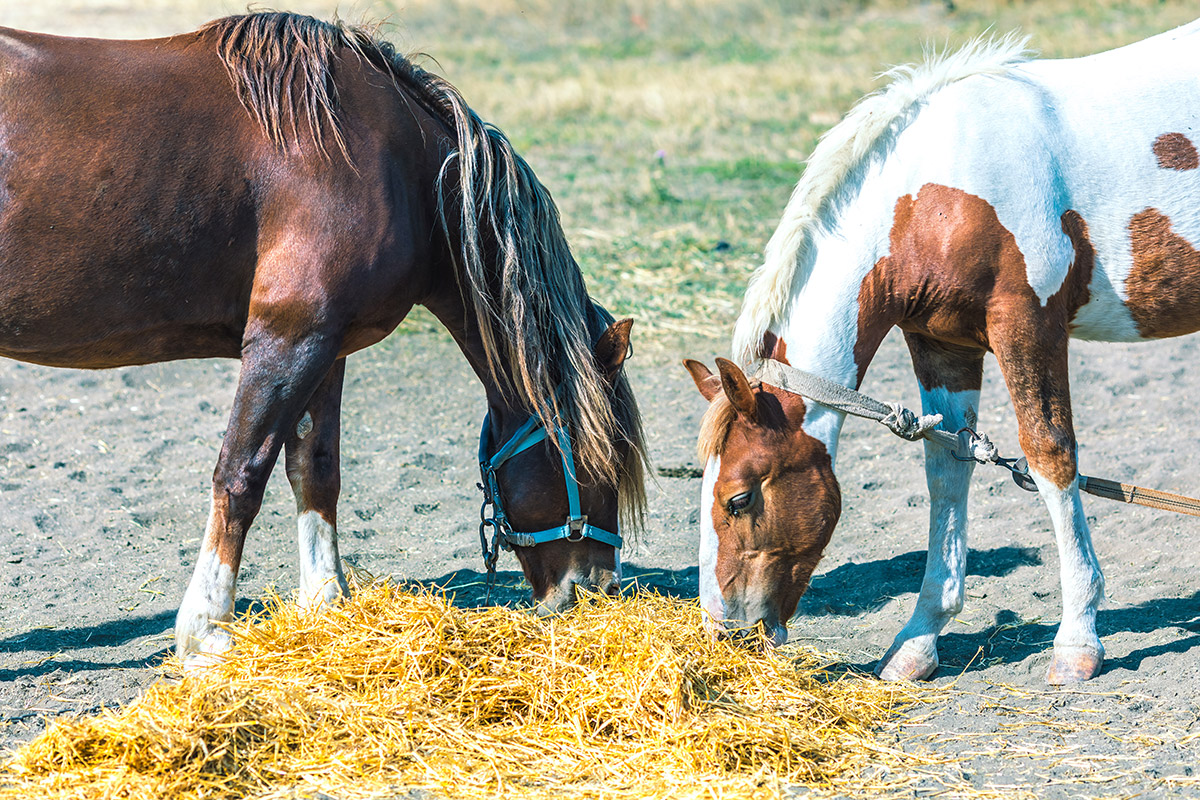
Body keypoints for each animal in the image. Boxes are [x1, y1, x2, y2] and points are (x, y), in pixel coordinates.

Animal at [0, 10, 648, 671]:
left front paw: (326, 604)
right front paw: (206, 632)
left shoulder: (326, 347)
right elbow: (240, 476)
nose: (597, 588)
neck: (392, 164)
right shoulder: (286, 338)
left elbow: (316, 469)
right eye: (600, 462)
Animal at [686, 25, 1200, 686]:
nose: (726, 633)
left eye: (740, 499)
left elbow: (1050, 457)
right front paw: (919, 638)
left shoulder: (1028, 324)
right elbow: (947, 471)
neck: (934, 199)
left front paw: (1077, 639)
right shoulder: (942, 343)